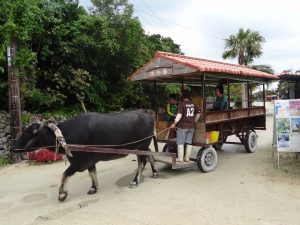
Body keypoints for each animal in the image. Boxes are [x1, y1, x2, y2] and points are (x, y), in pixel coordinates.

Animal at [13, 111, 159, 201]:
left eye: (27, 133)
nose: (14, 147)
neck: (63, 136)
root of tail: (150, 117)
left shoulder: (78, 162)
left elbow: (64, 175)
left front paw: (62, 194)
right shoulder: (90, 161)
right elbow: (92, 173)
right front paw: (93, 188)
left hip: (141, 146)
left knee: (142, 162)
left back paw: (134, 181)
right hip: (143, 147)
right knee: (150, 156)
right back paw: (155, 172)